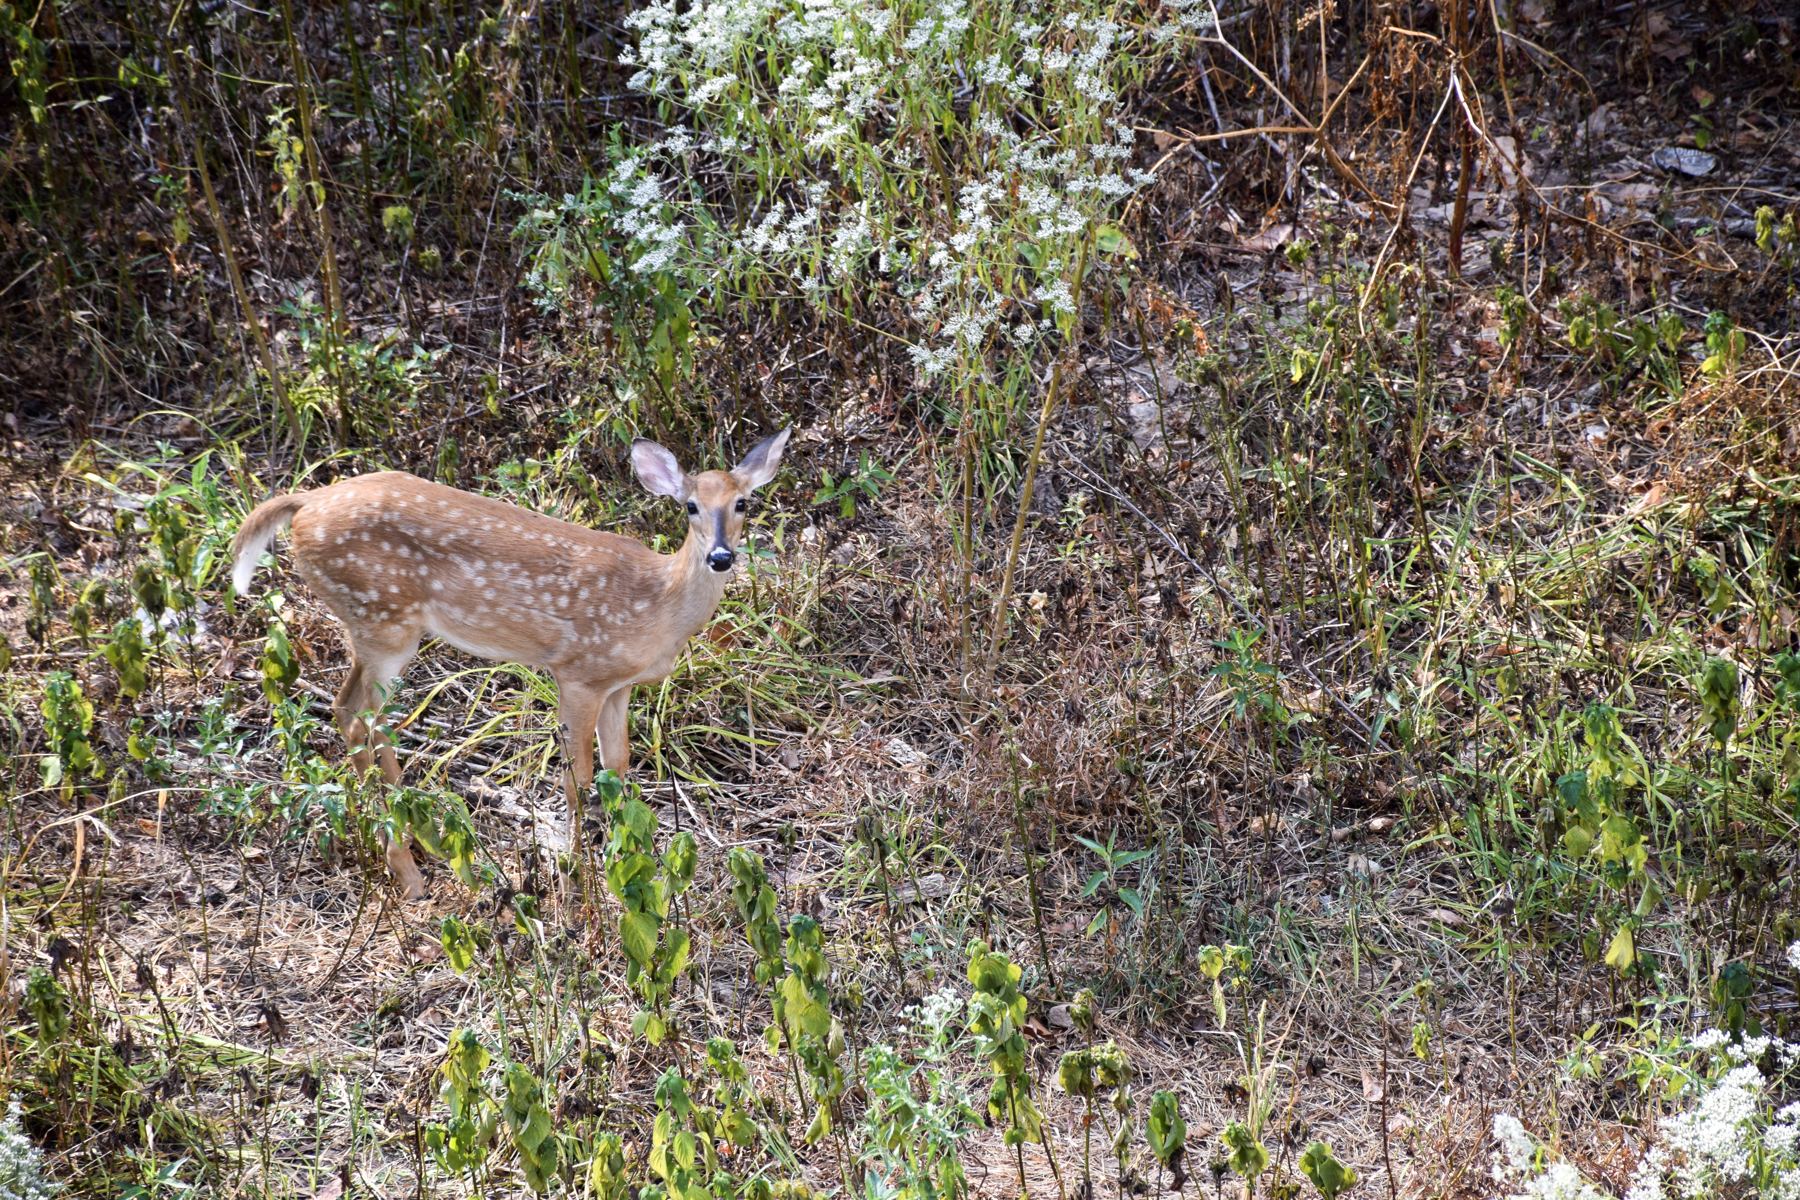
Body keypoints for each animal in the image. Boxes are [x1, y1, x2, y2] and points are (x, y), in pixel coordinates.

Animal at [228, 430, 791, 898]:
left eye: (742, 502)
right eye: (690, 505)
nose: (720, 556)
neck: (657, 606)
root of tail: (305, 501)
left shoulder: (619, 685)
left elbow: (619, 766)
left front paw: (629, 865)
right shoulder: (578, 671)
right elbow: (578, 778)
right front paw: (576, 876)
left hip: (378, 625)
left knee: (362, 714)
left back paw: (419, 845)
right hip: (382, 618)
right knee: (354, 714)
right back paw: (408, 873)